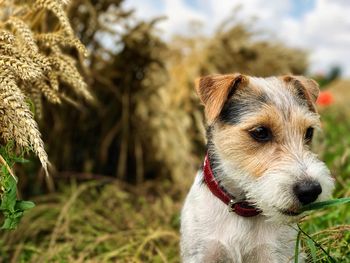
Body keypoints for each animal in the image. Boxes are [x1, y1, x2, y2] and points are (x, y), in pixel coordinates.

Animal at [182, 74, 334, 263]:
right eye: (260, 132)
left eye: (309, 132)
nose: (311, 191)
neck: (241, 210)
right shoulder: (202, 254)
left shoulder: (277, 255)